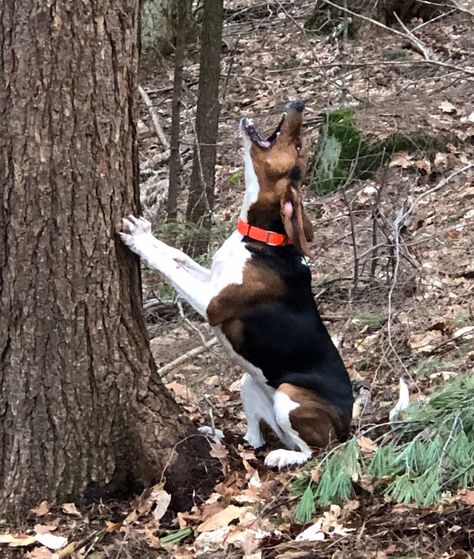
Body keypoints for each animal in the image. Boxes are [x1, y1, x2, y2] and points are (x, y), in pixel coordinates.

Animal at [120, 103, 354, 470]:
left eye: (298, 145)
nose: (298, 104)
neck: (262, 238)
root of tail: (349, 425)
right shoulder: (211, 278)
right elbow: (177, 255)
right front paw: (147, 233)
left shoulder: (212, 303)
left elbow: (171, 267)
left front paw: (140, 243)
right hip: (248, 382)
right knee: (253, 439)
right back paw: (218, 436)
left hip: (290, 396)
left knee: (316, 451)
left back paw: (284, 456)